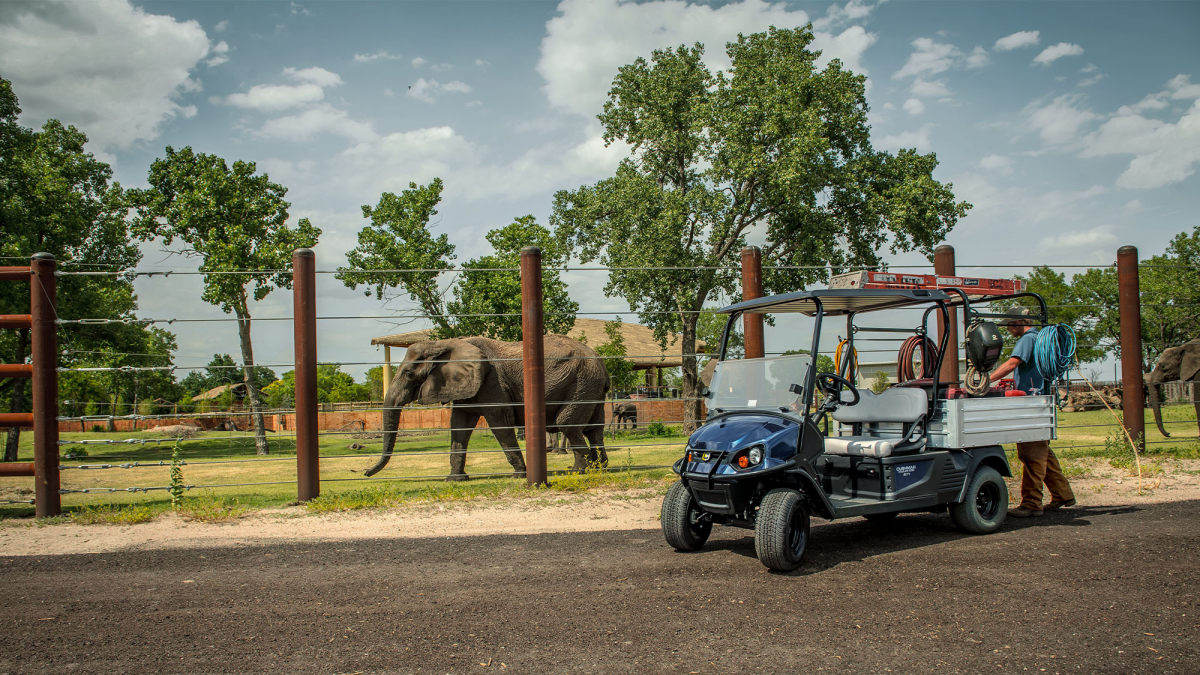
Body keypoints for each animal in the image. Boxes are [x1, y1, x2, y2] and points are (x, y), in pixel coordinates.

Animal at [362, 331, 609, 478]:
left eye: (408, 373)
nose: (364, 471)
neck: (443, 344)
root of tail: (601, 362)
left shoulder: (492, 383)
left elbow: (499, 421)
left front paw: (520, 475)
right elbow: (459, 425)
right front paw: (455, 479)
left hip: (582, 383)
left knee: (568, 424)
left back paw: (578, 471)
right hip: (589, 386)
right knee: (593, 428)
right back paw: (600, 467)